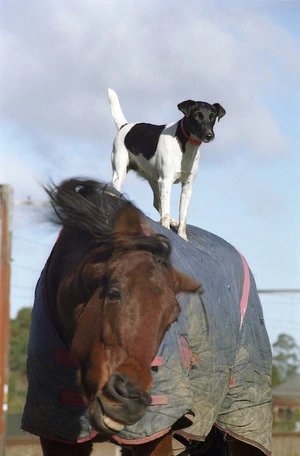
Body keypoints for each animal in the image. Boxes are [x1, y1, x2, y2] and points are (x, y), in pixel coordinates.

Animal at [108, 87, 225, 240]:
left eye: (212, 116)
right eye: (197, 115)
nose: (209, 135)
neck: (184, 145)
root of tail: (125, 126)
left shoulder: (187, 187)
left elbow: (183, 218)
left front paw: (182, 237)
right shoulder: (166, 182)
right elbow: (165, 212)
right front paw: (166, 229)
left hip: (154, 180)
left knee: (157, 203)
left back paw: (172, 220)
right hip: (120, 172)